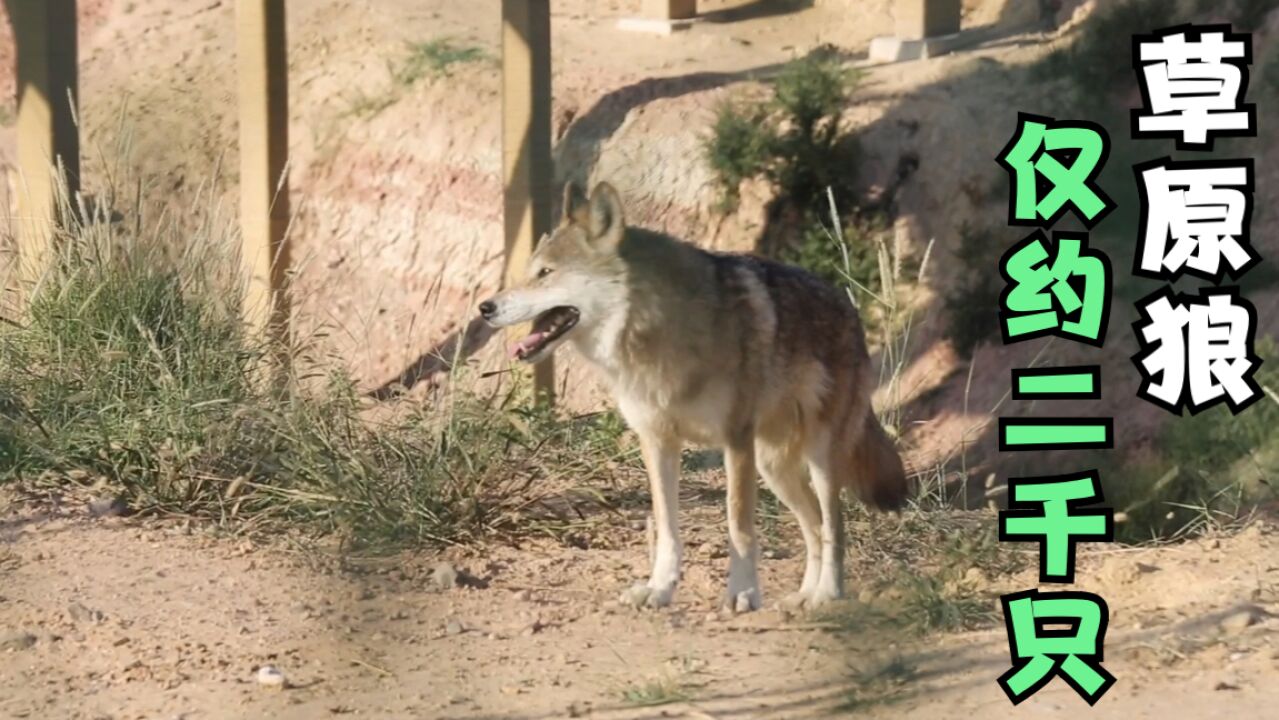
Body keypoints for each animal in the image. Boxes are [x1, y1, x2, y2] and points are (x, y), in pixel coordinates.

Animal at [480, 181, 910, 613]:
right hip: (774, 469)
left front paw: (743, 593)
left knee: (835, 527)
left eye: (545, 273)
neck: (657, 331)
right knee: (815, 528)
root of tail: (849, 307)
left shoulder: (735, 442)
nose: (485, 307)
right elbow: (667, 528)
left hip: (818, 460)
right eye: (530, 271)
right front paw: (658, 588)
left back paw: (827, 594)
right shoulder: (657, 443)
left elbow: (739, 526)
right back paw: (804, 596)